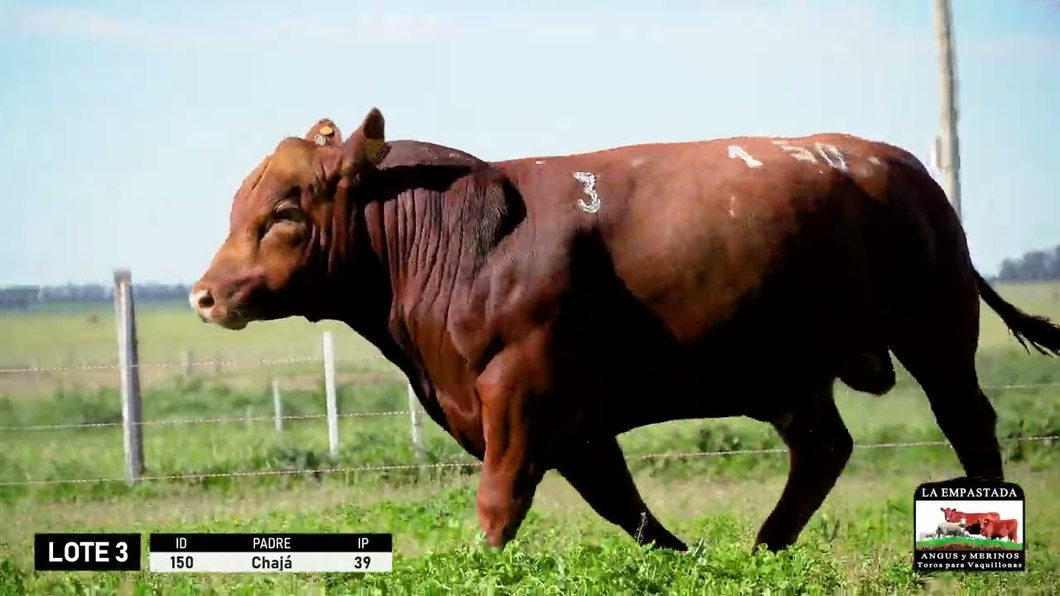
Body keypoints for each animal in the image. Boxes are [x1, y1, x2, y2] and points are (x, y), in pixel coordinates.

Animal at [188, 106, 1060, 551]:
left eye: (286, 209)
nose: (204, 294)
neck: (470, 241)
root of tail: (896, 162)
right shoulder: (571, 420)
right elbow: (623, 505)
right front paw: (685, 557)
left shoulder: (521, 394)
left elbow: (500, 502)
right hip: (787, 370)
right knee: (822, 448)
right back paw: (761, 550)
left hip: (935, 332)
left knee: (969, 425)